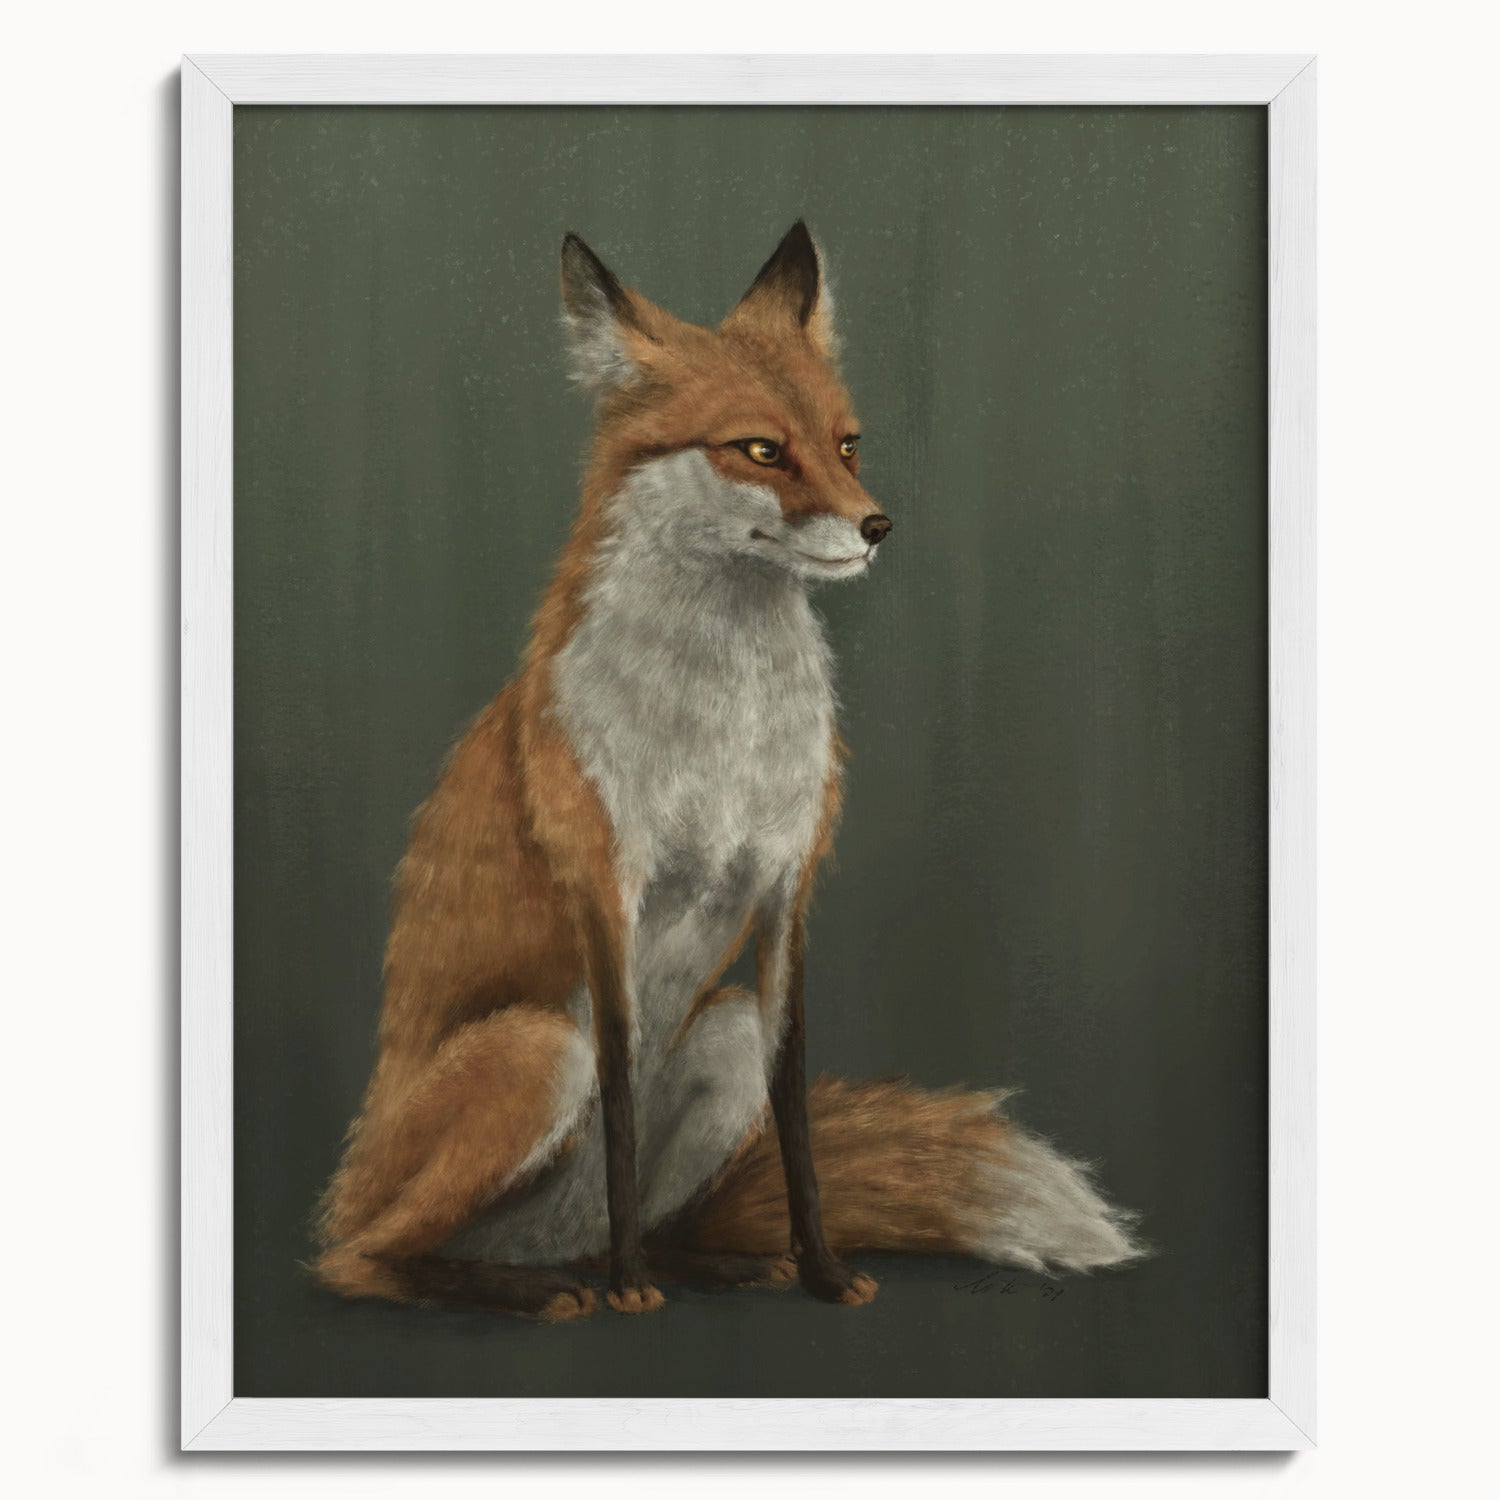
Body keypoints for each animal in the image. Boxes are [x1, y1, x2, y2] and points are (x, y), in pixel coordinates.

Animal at [312, 222, 1143, 1321]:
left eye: (847, 444)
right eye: (760, 449)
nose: (878, 526)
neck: (725, 730)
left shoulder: (787, 889)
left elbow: (794, 1115)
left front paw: (822, 1271)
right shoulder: (606, 891)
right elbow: (621, 1100)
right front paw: (630, 1292)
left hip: (723, 1034)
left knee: (647, 1215)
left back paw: (705, 1263)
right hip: (536, 1051)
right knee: (363, 1259)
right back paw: (542, 1286)